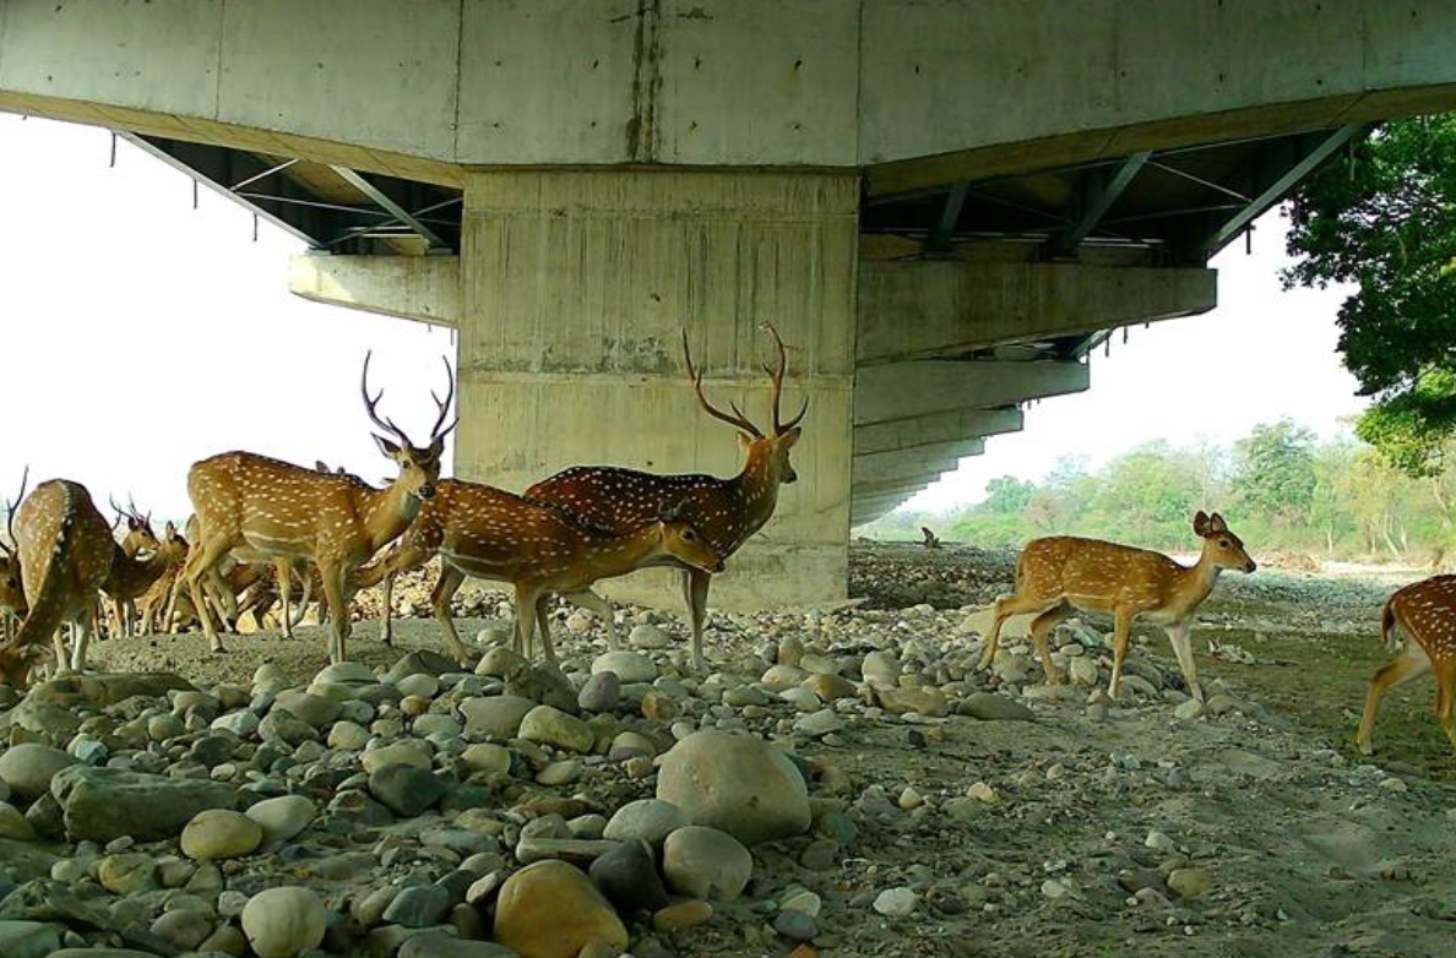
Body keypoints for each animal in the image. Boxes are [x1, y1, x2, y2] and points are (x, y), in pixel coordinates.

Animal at [181, 351, 455, 664]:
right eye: (405, 463)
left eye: (437, 463)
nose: (427, 489)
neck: (367, 523)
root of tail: (191, 472)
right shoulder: (327, 553)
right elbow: (339, 618)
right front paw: (339, 664)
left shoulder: (347, 565)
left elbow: (338, 620)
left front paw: (333, 658)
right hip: (220, 527)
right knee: (194, 574)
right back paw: (216, 640)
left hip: (211, 534)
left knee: (191, 571)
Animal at [361, 481, 724, 665]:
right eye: (689, 533)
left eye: (700, 528)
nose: (719, 562)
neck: (584, 552)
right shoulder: (528, 578)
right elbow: (527, 626)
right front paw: (528, 664)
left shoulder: (563, 585)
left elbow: (601, 609)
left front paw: (609, 657)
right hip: (420, 540)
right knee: (385, 564)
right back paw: (381, 632)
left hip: (453, 562)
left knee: (437, 597)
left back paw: (464, 656)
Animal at [523, 323, 806, 674]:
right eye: (787, 452)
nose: (792, 475)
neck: (738, 506)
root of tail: (531, 491)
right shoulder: (709, 553)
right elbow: (699, 611)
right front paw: (702, 664)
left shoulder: (687, 562)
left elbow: (688, 608)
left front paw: (689, 658)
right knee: (541, 597)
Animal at [977, 512, 1257, 703]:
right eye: (1224, 542)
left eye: (1242, 541)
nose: (1251, 565)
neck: (1175, 590)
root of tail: (1023, 553)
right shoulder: (1127, 603)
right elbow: (1121, 649)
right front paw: (1112, 692)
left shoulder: (1176, 624)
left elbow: (1189, 665)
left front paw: (1200, 701)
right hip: (1042, 589)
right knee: (1002, 604)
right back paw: (983, 662)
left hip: (1066, 603)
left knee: (1036, 625)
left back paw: (1053, 678)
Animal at [1356, 575, 1456, 755]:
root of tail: (1395, 599)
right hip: (1445, 646)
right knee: (1443, 709)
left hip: (1422, 653)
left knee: (1381, 675)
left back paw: (1365, 743)